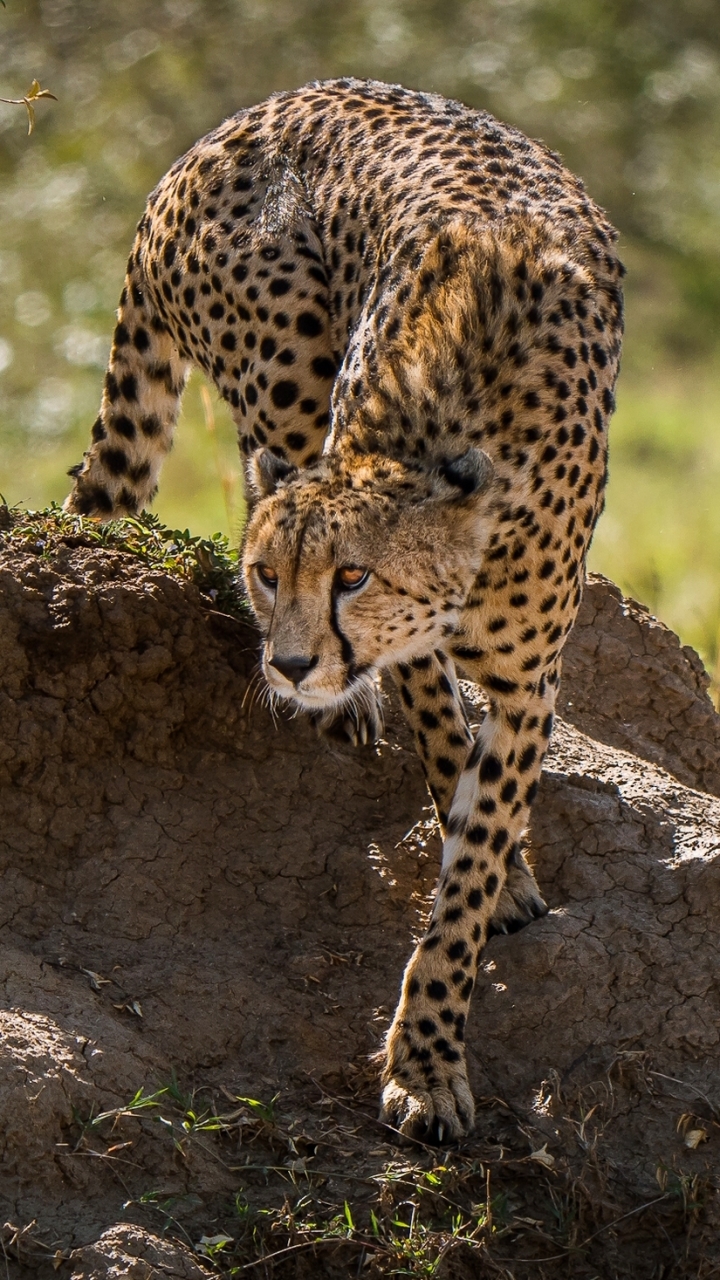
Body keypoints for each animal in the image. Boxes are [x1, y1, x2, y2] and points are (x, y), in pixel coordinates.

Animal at [65, 77, 622, 1141]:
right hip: (283, 364)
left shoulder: (530, 680)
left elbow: (474, 857)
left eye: (352, 577)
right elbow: (442, 735)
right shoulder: (421, 651)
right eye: (263, 576)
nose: (287, 666)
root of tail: (232, 124)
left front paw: (430, 1048)